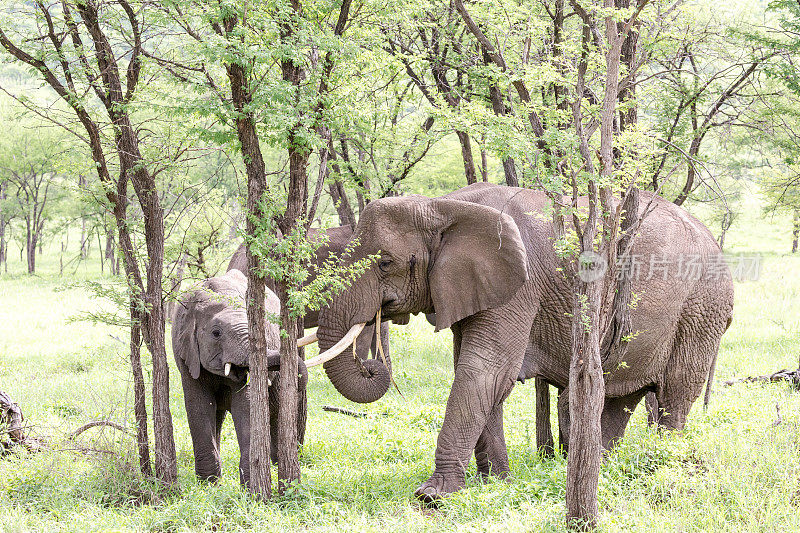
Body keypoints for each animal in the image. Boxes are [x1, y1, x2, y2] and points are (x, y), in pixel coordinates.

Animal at [171, 270, 306, 486]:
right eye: (216, 333)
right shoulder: (185, 353)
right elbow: (198, 406)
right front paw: (209, 484)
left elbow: (245, 405)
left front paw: (249, 486)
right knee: (217, 414)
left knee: (276, 412)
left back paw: (276, 465)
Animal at [310, 182, 736, 498]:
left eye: (385, 263)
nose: (371, 366)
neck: (444, 206)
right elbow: (479, 374)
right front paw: (495, 482)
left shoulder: (519, 285)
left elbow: (485, 371)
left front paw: (433, 495)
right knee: (619, 396)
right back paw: (603, 466)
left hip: (701, 307)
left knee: (675, 395)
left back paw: (663, 464)